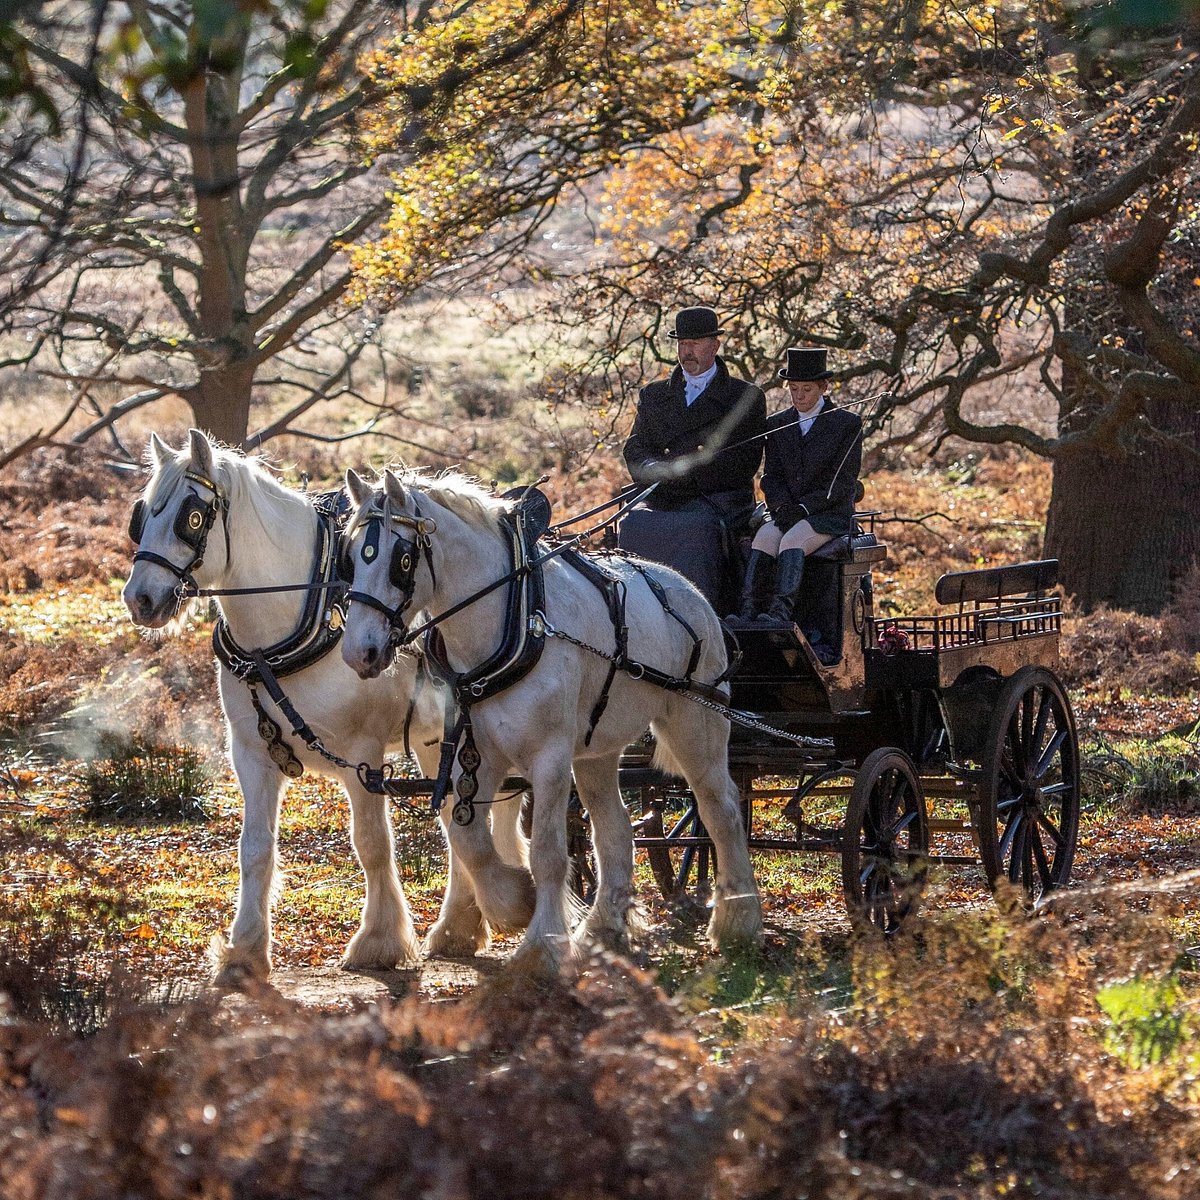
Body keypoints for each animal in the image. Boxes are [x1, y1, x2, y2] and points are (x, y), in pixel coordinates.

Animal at [123, 427, 535, 979]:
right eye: (143, 514)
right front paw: (244, 948)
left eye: (191, 517)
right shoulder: (250, 755)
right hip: (437, 741)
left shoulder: (363, 755)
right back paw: (459, 927)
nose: (139, 599)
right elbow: (254, 849)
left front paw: (378, 940)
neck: (298, 622)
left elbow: (372, 845)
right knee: (460, 819)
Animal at [338, 463, 758, 969]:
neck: (514, 620)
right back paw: (604, 927)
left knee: (721, 811)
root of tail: (690, 591)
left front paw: (543, 945)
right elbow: (468, 840)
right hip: (596, 752)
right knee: (615, 828)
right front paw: (514, 902)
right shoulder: (472, 755)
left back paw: (737, 921)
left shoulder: (550, 759)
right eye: (351, 558)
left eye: (401, 560)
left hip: (695, 725)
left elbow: (548, 854)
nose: (359, 652)